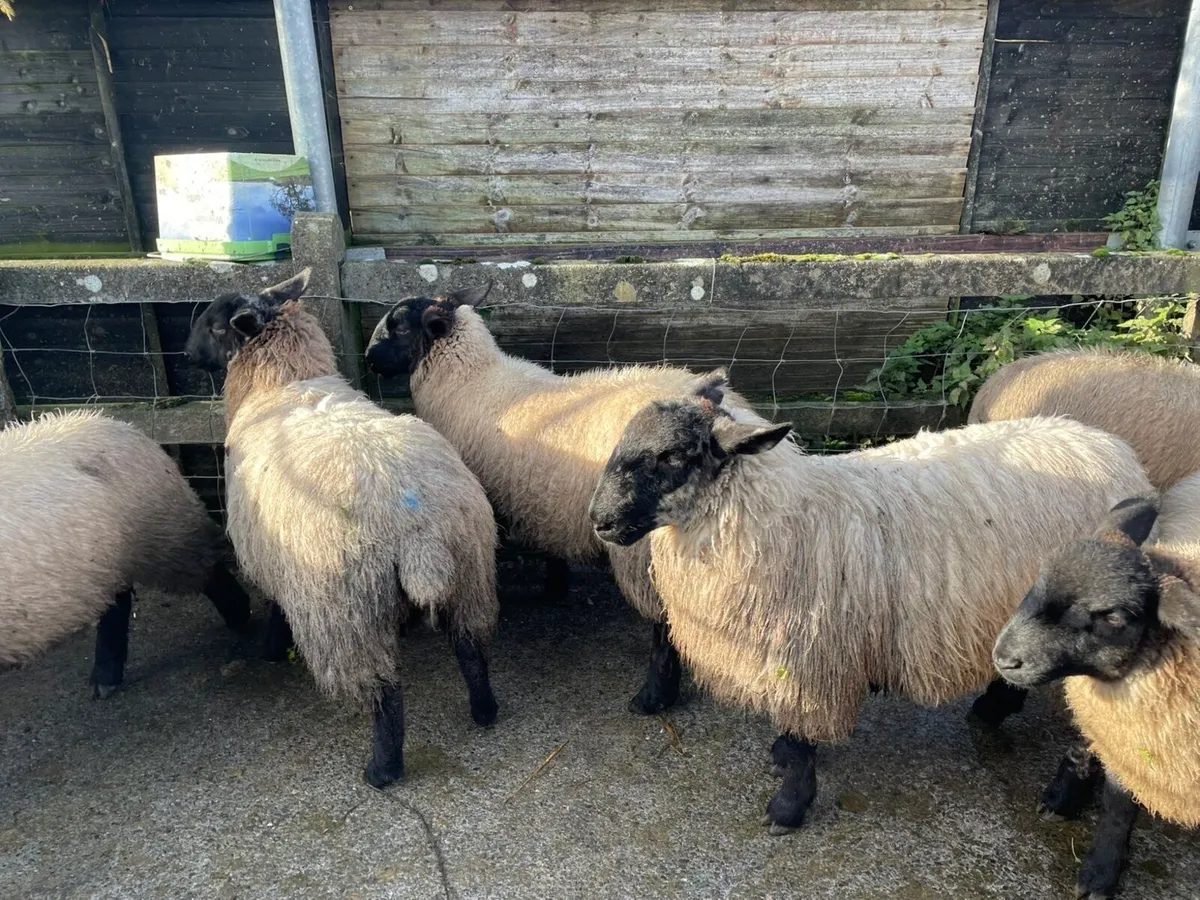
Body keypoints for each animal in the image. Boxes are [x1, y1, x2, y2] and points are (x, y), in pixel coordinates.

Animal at [1, 410, 250, 695]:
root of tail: (119, 424)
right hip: (108, 558)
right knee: (117, 602)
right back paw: (106, 680)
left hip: (164, 532)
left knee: (205, 568)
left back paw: (240, 616)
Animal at [185, 269, 500, 788]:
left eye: (213, 325)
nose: (187, 355)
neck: (283, 380)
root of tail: (416, 528)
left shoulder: (270, 554)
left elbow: (276, 606)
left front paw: (271, 648)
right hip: (470, 573)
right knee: (472, 651)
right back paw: (484, 711)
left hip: (343, 615)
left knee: (385, 694)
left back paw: (382, 769)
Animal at [365, 285, 749, 715]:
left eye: (399, 326)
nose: (368, 360)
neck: (472, 378)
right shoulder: (543, 498)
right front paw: (556, 584)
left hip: (642, 551)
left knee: (665, 625)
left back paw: (653, 698)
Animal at [587, 378, 1152, 834]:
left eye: (672, 457)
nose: (599, 520)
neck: (771, 518)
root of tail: (1114, 450)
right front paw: (781, 756)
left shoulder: (811, 661)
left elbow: (803, 741)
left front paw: (788, 807)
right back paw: (994, 708)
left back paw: (1061, 798)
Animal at [992, 478, 1200, 900]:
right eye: (1038, 578)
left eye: (1114, 617)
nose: (1005, 658)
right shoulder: (1133, 745)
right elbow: (1118, 807)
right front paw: (1100, 871)